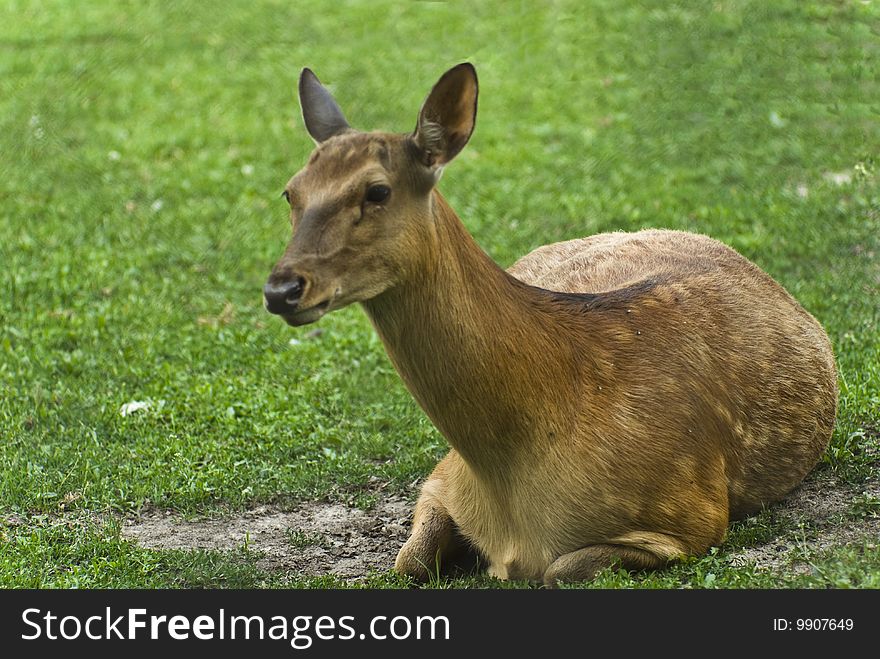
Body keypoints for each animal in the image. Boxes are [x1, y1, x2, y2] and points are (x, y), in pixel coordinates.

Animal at [262, 64, 840, 584]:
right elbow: (410, 561)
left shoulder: (693, 515)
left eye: (377, 191)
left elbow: (560, 569)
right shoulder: (442, 476)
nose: (281, 289)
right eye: (291, 192)